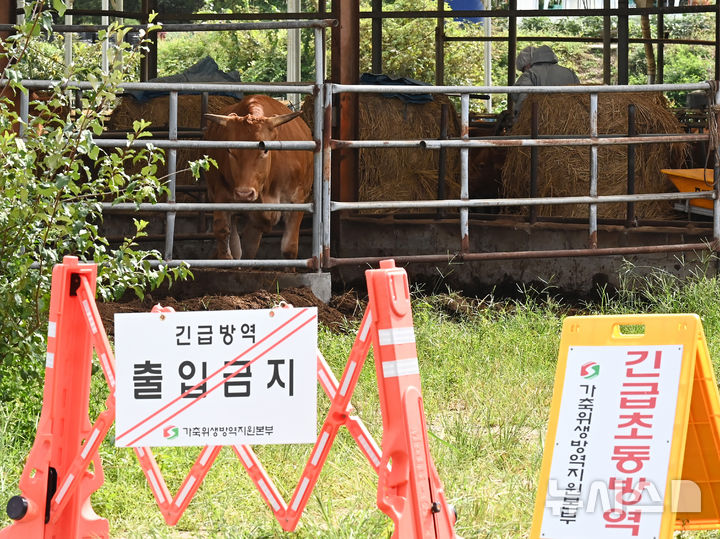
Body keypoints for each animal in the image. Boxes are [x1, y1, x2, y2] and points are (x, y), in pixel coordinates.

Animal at [204, 95, 314, 262]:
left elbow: (289, 248)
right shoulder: (221, 194)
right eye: (229, 150)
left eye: (265, 150)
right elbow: (223, 232)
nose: (244, 193)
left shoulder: (297, 200)